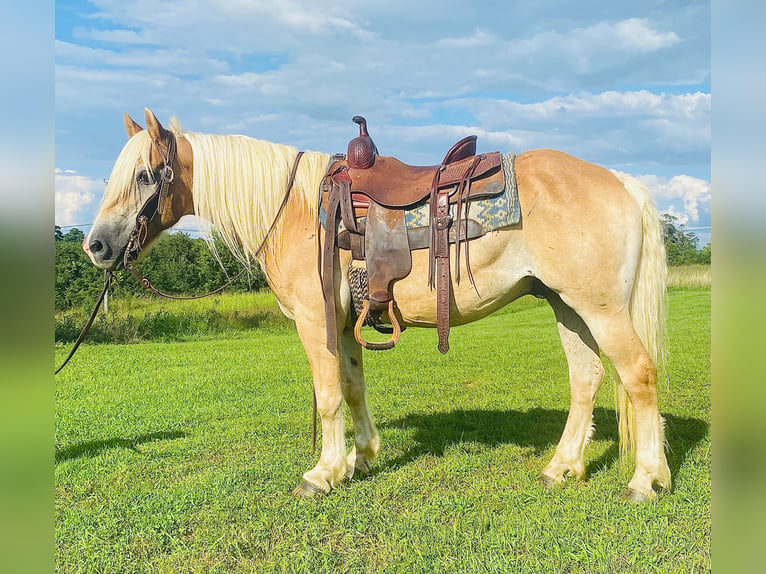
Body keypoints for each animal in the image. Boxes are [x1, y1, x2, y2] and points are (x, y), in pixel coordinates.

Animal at [85, 109, 672, 504]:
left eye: (145, 175)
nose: (95, 247)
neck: (297, 209)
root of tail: (621, 181)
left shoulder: (315, 321)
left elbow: (327, 396)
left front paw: (322, 472)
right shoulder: (346, 324)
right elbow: (352, 386)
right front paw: (361, 458)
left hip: (601, 310)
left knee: (639, 376)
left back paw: (646, 479)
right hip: (567, 306)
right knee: (587, 379)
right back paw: (562, 467)